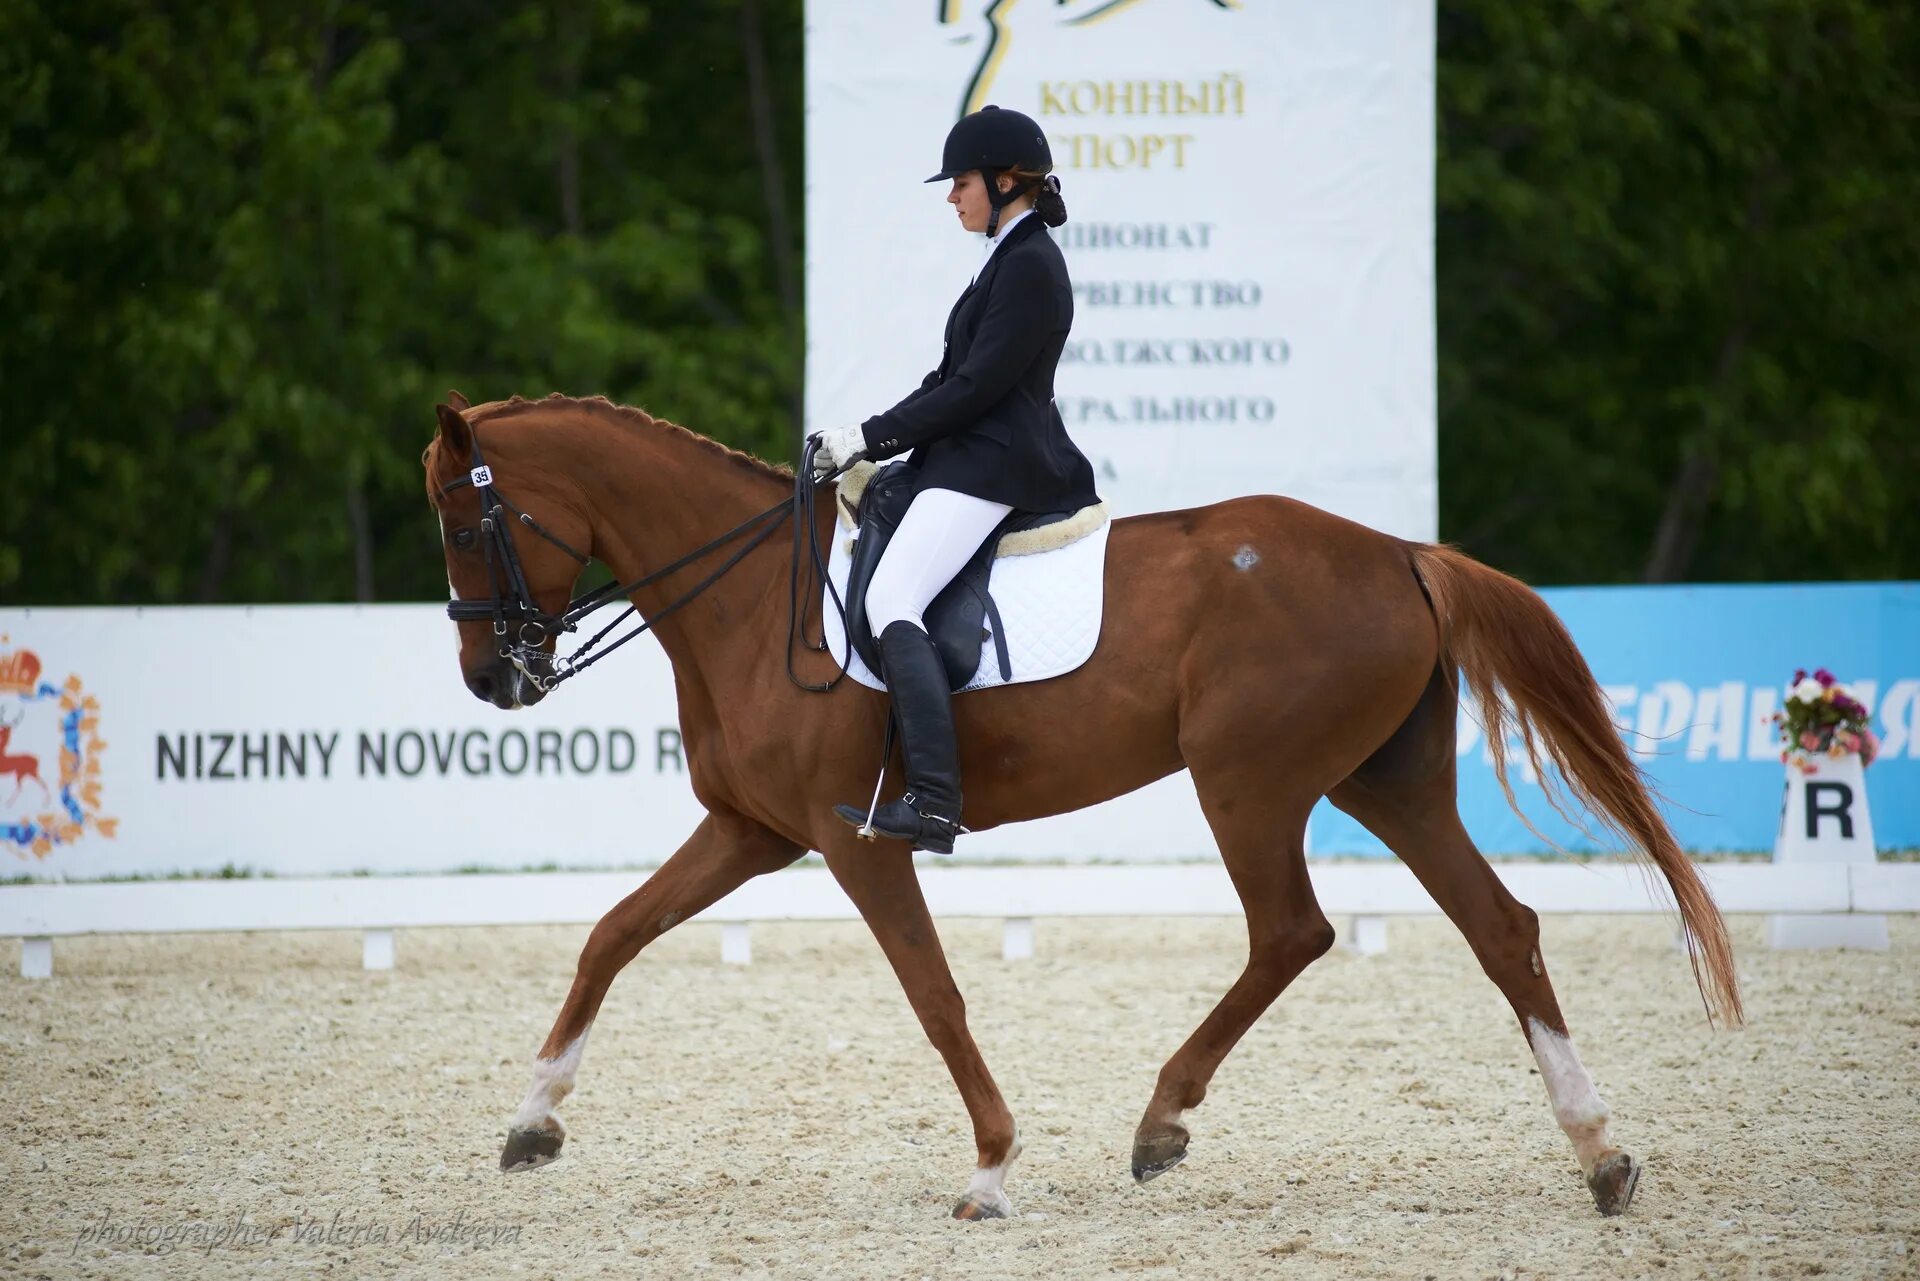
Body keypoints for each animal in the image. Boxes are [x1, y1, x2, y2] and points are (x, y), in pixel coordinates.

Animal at [420, 391, 1743, 1221]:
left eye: (463, 520)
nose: (491, 680)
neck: (753, 598)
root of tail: (1401, 552)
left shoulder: (853, 838)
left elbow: (935, 996)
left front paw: (992, 1171)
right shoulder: (755, 830)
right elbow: (612, 934)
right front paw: (532, 1122)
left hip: (1249, 779)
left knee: (1293, 931)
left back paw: (1162, 1120)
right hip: (1385, 781)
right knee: (1499, 929)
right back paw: (1601, 1152)